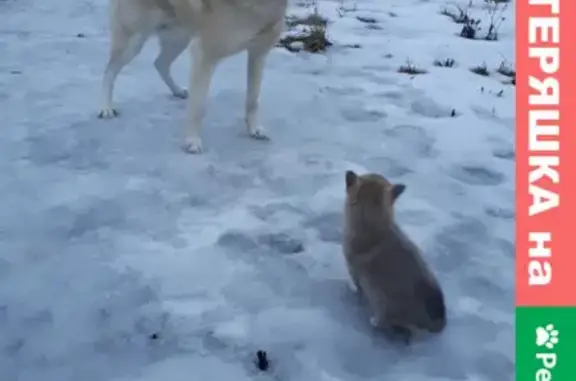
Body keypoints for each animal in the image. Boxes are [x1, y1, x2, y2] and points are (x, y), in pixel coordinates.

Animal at [100, 1, 288, 154]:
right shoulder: (205, 54)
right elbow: (198, 107)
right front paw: (192, 141)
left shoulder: (258, 54)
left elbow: (253, 100)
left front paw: (254, 129)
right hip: (133, 41)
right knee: (109, 71)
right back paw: (106, 107)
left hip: (179, 38)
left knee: (160, 63)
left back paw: (176, 90)